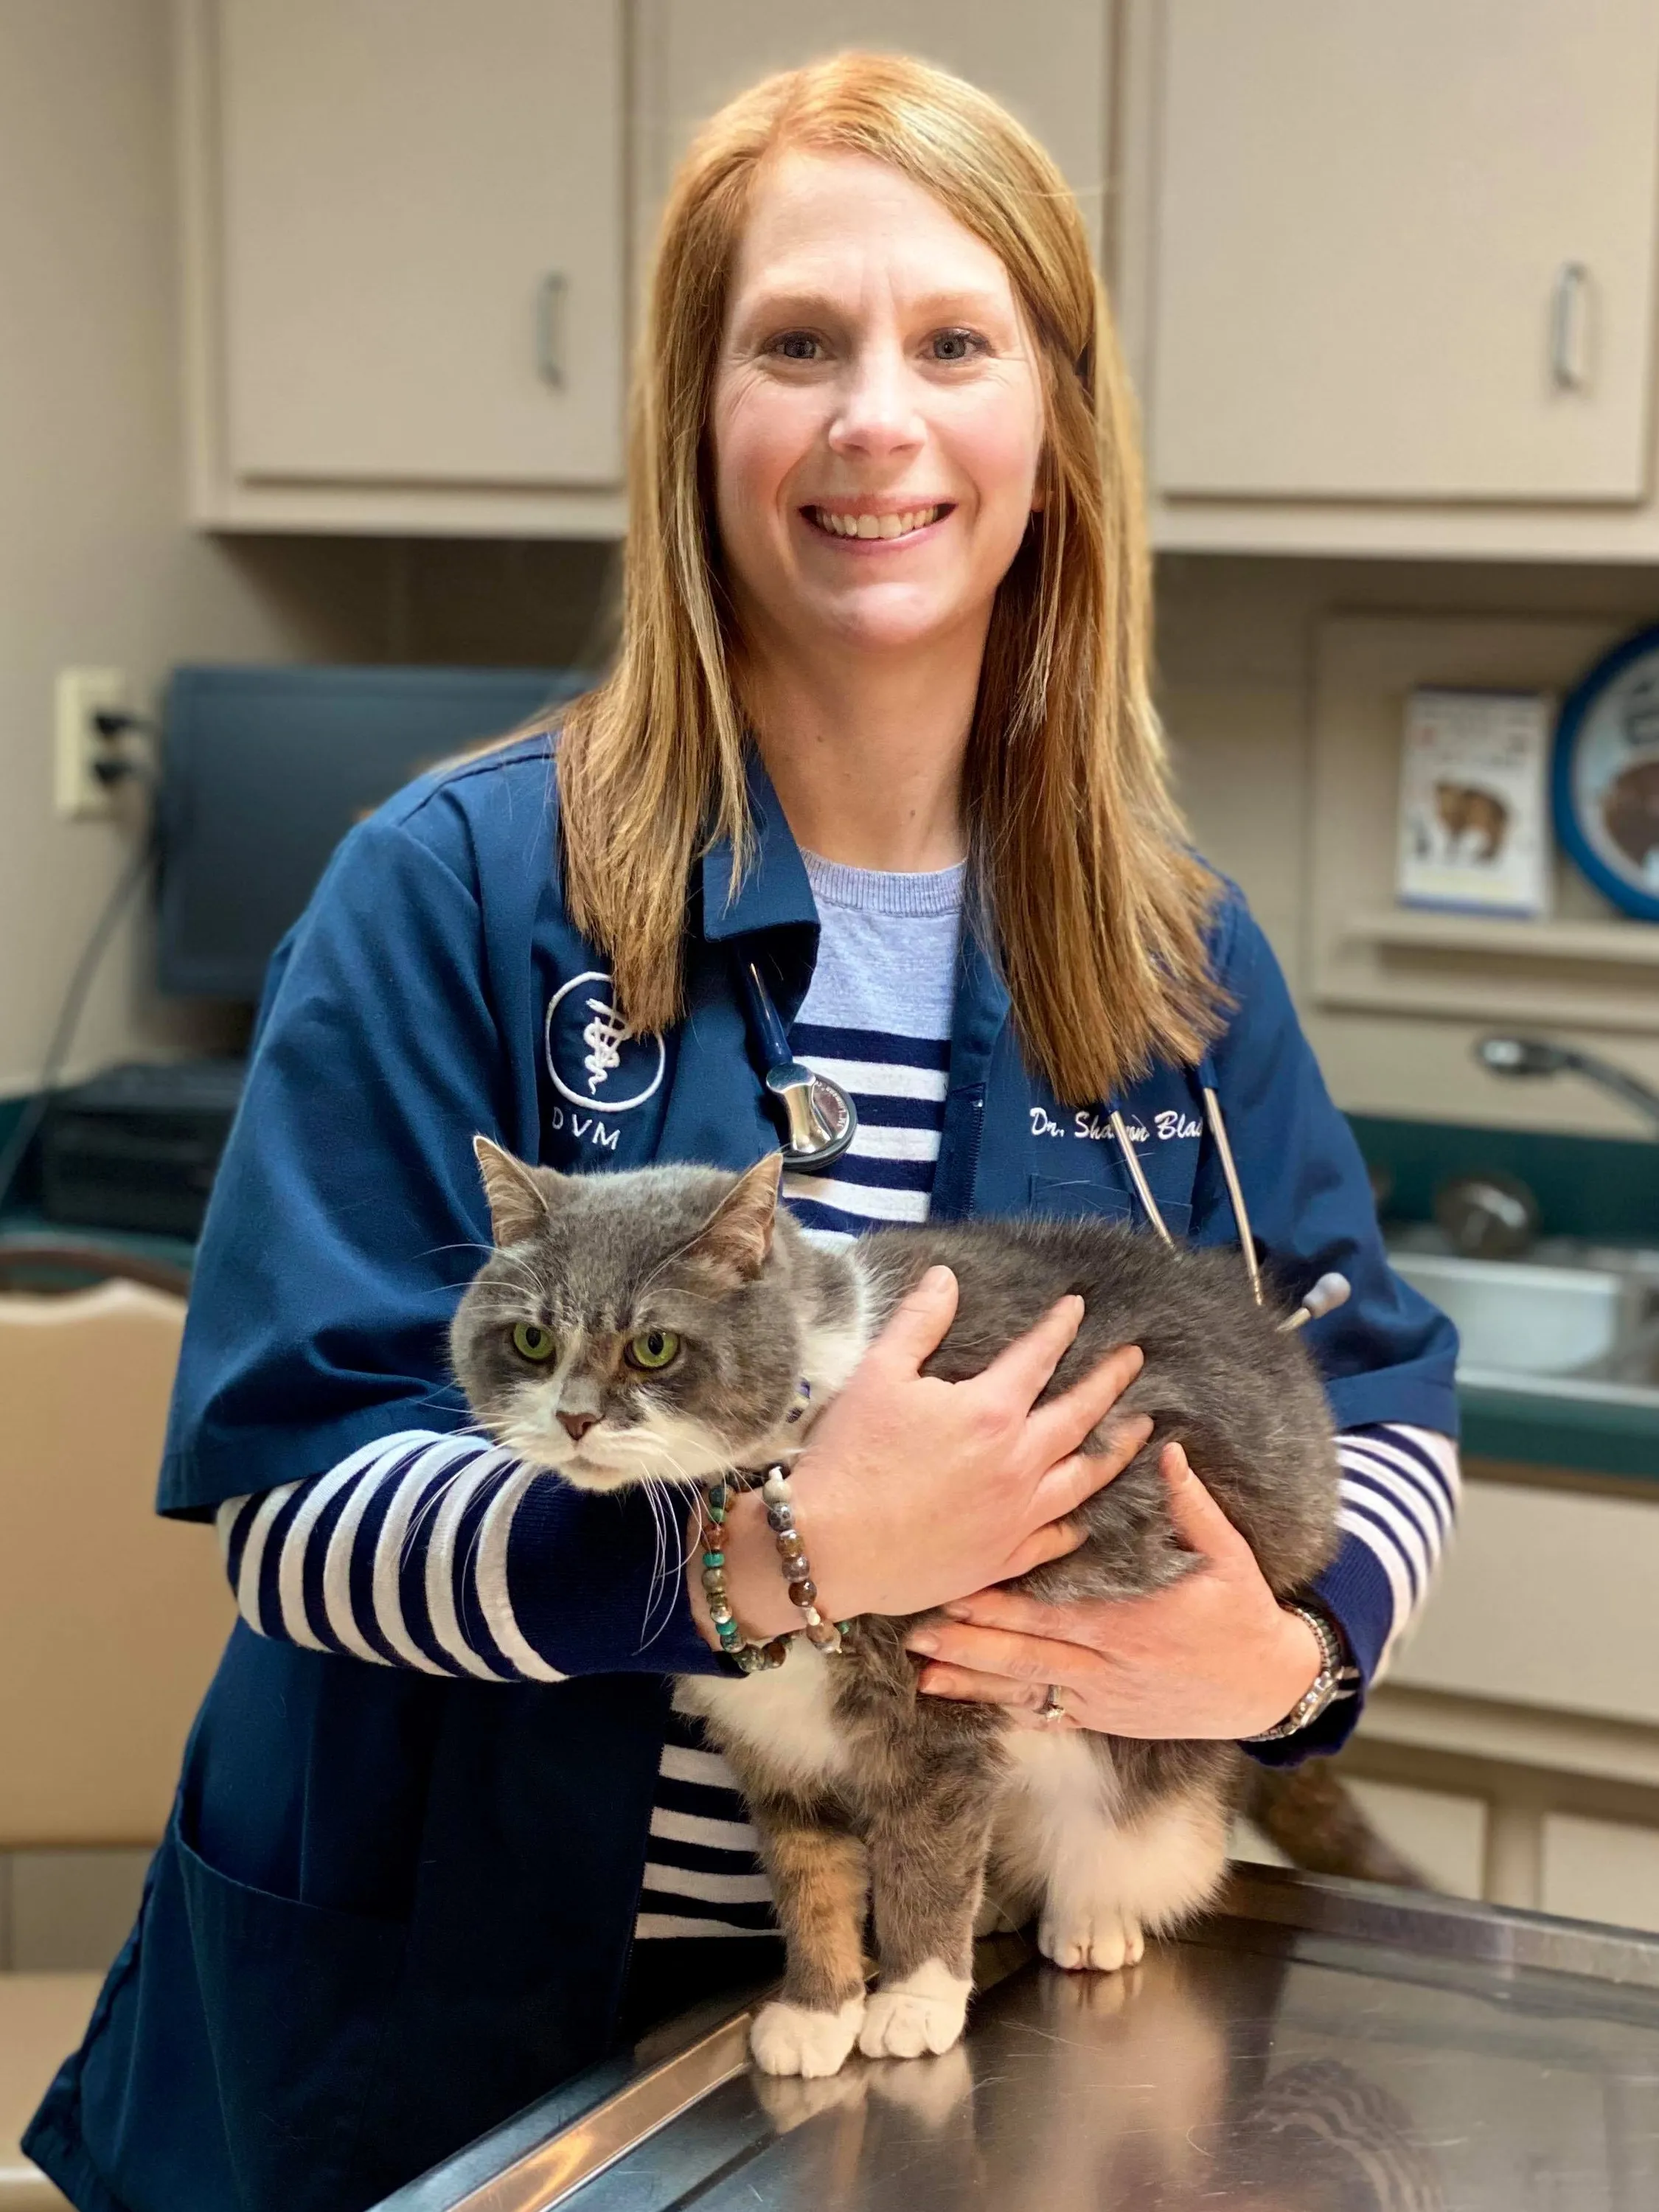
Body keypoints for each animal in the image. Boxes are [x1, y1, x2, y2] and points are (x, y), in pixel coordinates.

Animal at [456, 1141, 1354, 2070]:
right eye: (532, 1339)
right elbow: (807, 1873)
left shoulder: (936, 1717)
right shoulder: (772, 1741)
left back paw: (1090, 1917)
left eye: (654, 1347)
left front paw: (917, 1996)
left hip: (1152, 1775)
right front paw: (820, 2008)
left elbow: (926, 1854)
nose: (573, 1419)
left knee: (1117, 1831)